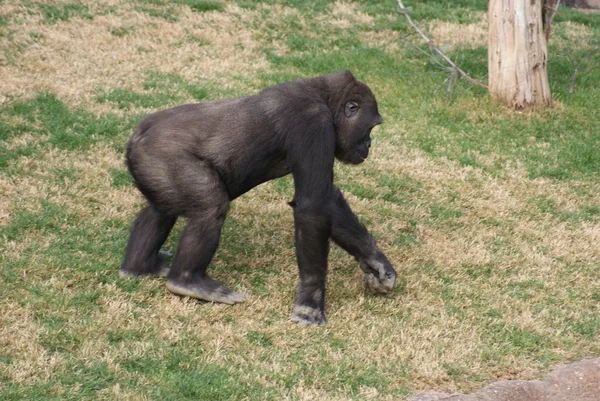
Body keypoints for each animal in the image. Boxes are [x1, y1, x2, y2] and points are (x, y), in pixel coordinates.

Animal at [119, 70, 396, 324]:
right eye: (370, 127)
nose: (369, 144)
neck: (324, 96)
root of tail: (138, 135)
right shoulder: (313, 122)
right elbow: (313, 205)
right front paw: (311, 300)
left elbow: (327, 201)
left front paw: (375, 260)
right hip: (163, 156)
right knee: (210, 208)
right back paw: (187, 281)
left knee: (160, 210)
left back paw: (141, 266)